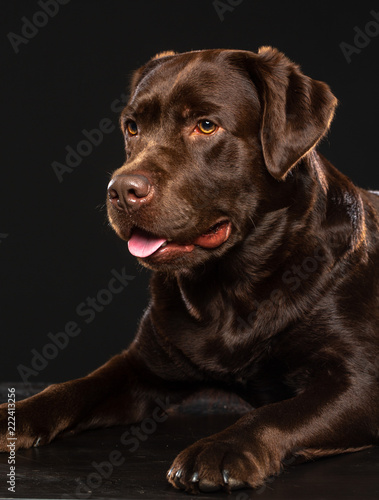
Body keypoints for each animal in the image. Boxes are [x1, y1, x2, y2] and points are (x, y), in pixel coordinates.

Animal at [2, 47, 379, 492]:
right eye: (132, 127)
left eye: (206, 125)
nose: (121, 190)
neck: (230, 290)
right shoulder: (142, 365)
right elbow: (73, 387)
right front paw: (17, 415)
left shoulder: (358, 382)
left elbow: (278, 412)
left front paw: (222, 447)